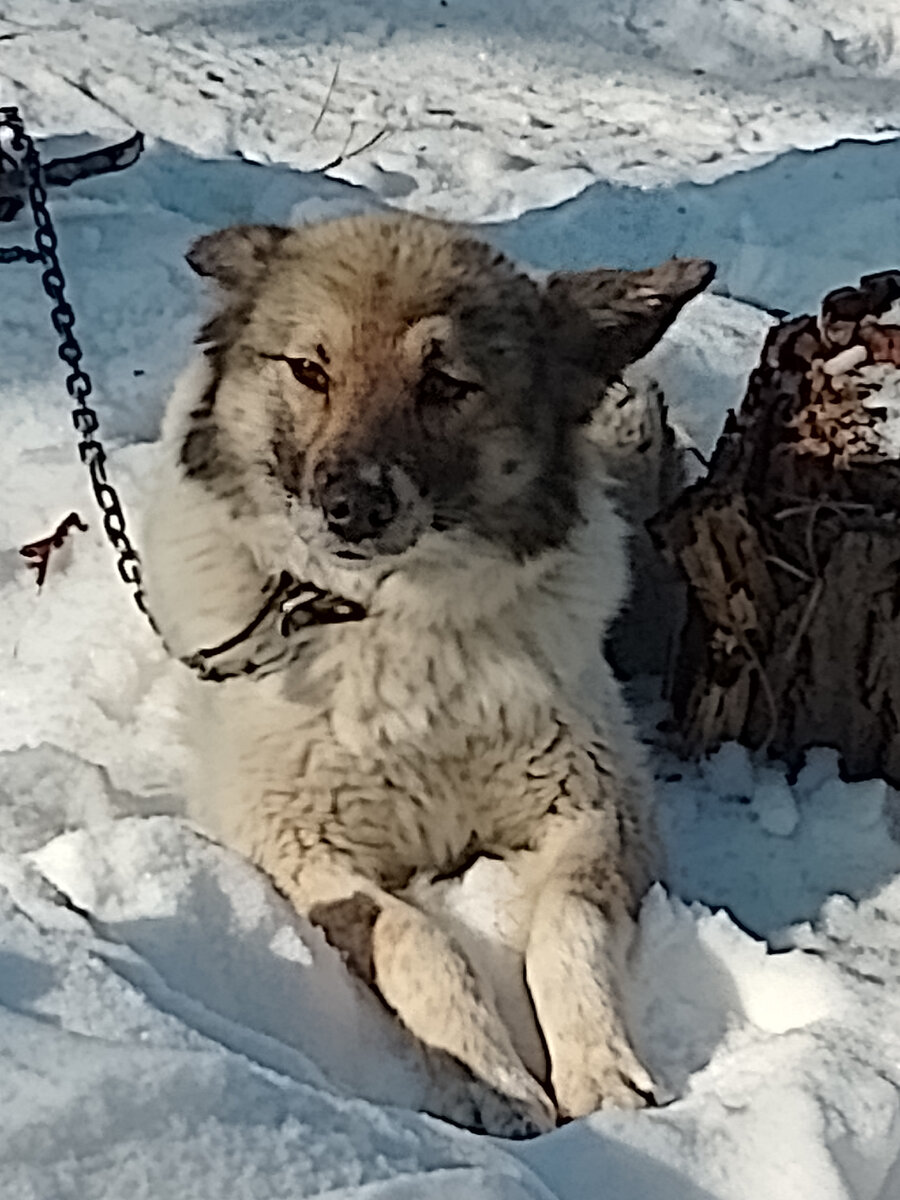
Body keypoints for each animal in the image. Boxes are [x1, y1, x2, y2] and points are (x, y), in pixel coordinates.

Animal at [144, 211, 715, 1137]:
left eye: (446, 385)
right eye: (310, 370)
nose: (351, 506)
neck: (393, 620)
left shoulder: (596, 808)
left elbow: (567, 924)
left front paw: (599, 1068)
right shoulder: (294, 841)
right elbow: (416, 935)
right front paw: (493, 1079)